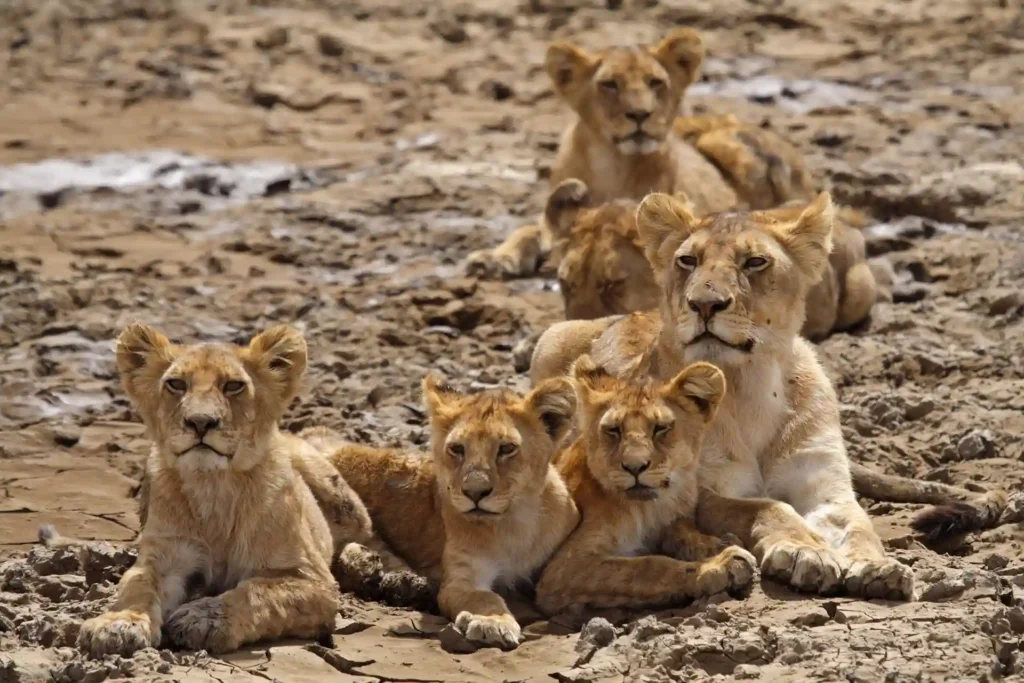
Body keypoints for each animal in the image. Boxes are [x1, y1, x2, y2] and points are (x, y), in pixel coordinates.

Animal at [75, 323, 354, 658]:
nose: (200, 421)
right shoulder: (165, 555)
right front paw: (118, 623)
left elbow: (257, 593)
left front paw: (204, 618)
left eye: (233, 386)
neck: (214, 486)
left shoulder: (316, 582)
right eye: (176, 384)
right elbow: (137, 584)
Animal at [305, 375, 581, 650]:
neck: (515, 522)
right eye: (457, 449)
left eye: (507, 449)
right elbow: (484, 597)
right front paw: (492, 622)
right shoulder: (459, 580)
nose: (474, 492)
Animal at [464, 28, 816, 280]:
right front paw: (494, 259)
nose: (639, 114)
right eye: (609, 84)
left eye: (655, 82)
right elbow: (528, 228)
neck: (613, 164)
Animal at [535, 356, 756, 614]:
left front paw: (717, 544)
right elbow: (647, 566)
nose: (635, 466)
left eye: (661, 428)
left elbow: (682, 532)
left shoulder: (674, 518)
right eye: (614, 430)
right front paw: (720, 564)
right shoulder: (564, 569)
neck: (650, 508)